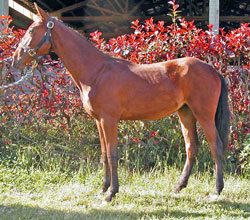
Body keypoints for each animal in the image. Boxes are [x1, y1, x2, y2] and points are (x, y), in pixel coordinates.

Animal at [12, 3, 229, 203]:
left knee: (215, 146)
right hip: (185, 113)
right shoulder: (99, 120)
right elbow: (104, 153)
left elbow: (112, 154)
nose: (15, 60)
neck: (97, 72)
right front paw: (103, 188)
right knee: (191, 147)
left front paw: (111, 193)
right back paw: (178, 187)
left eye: (31, 30)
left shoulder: (109, 120)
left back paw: (217, 191)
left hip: (203, 114)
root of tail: (212, 69)